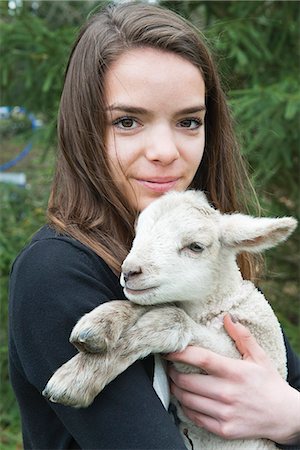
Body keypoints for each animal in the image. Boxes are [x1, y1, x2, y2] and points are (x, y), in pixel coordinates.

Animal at [42, 190, 298, 450]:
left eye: (196, 246)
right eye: (137, 233)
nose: (129, 271)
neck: (217, 305)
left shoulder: (253, 356)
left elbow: (172, 317)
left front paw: (74, 380)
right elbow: (154, 304)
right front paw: (98, 324)